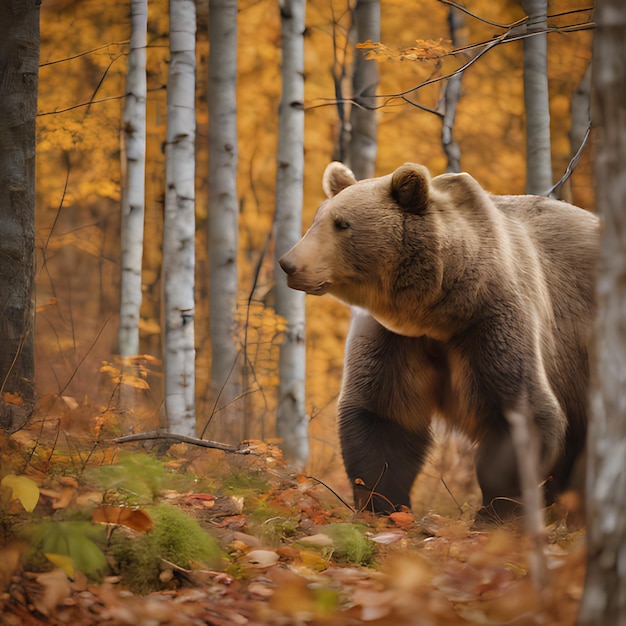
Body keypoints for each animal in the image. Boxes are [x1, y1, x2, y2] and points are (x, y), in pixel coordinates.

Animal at [278, 161, 596, 516]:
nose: (289, 264)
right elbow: (382, 415)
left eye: (342, 223)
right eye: (317, 218)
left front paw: (495, 511)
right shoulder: (397, 336)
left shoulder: (491, 319)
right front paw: (384, 505)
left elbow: (520, 412)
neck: (440, 310)